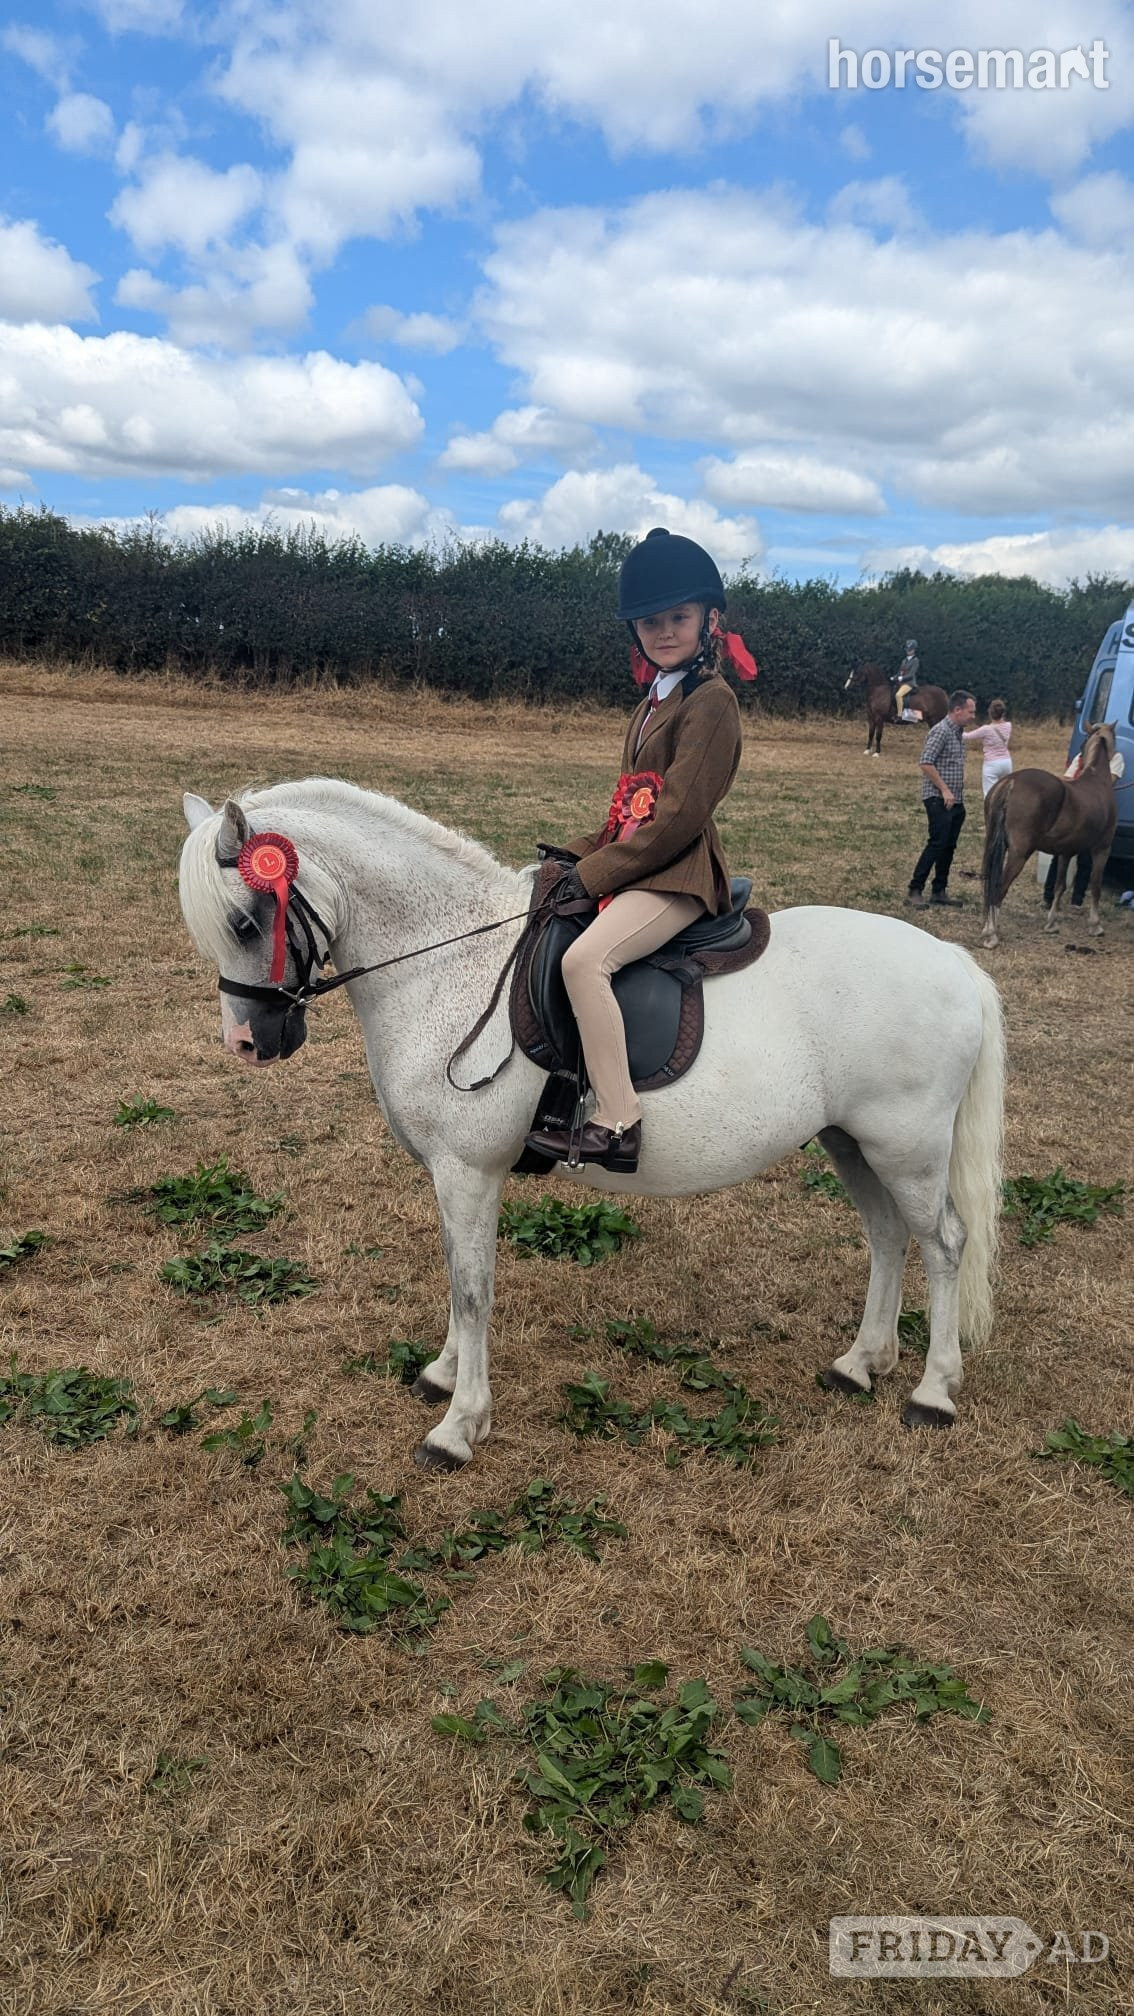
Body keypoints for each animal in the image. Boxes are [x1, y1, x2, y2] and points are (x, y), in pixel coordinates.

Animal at [179, 778, 1005, 1468]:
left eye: (247, 921)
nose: (248, 1043)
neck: (449, 960)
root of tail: (955, 963)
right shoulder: (451, 1177)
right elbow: (456, 1276)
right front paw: (443, 1374)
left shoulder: (468, 1172)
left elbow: (473, 1289)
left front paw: (459, 1426)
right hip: (852, 1143)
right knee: (888, 1237)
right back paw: (860, 1364)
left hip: (906, 1149)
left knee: (943, 1244)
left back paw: (933, 1391)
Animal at [980, 722, 1118, 949]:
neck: (1098, 782)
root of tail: (1011, 781)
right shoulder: (1102, 849)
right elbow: (1096, 885)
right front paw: (1096, 925)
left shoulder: (1066, 853)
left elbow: (1059, 886)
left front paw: (1052, 923)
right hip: (1019, 853)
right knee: (1000, 886)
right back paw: (991, 935)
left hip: (993, 845)